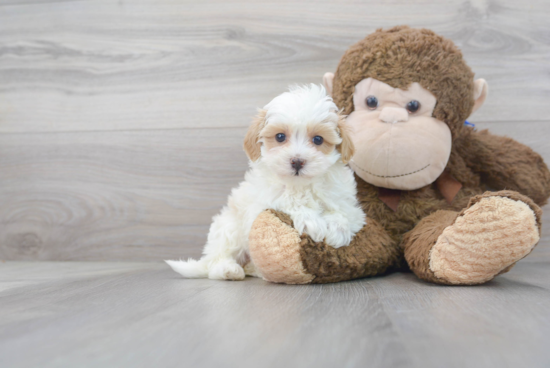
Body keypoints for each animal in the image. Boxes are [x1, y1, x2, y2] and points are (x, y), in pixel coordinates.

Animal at [167, 85, 366, 280]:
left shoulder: (349, 205)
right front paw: (311, 221)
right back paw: (228, 270)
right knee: (216, 261)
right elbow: (286, 201)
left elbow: (345, 213)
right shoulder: (260, 203)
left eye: (318, 139)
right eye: (280, 137)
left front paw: (337, 230)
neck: (299, 185)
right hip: (228, 229)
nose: (297, 161)